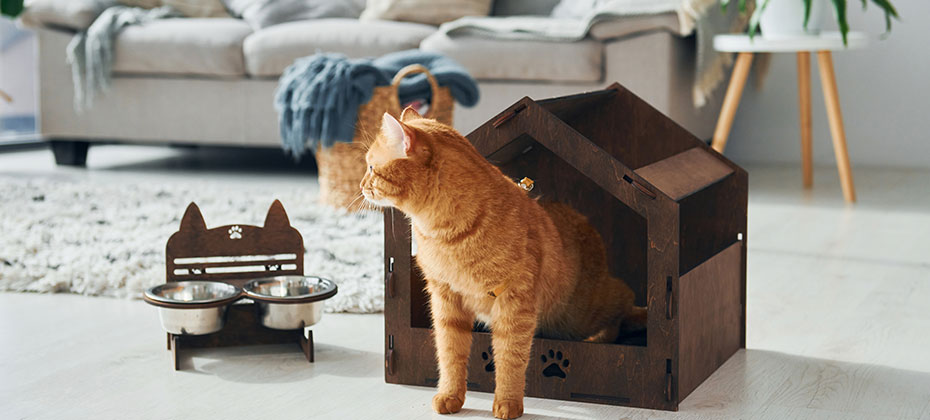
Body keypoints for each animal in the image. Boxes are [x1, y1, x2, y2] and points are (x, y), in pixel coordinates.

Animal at [358, 107, 640, 416]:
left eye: (371, 168)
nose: (360, 186)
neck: (448, 234)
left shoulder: (515, 306)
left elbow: (510, 359)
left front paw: (508, 403)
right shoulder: (445, 301)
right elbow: (449, 354)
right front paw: (450, 395)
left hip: (581, 313)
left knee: (625, 304)